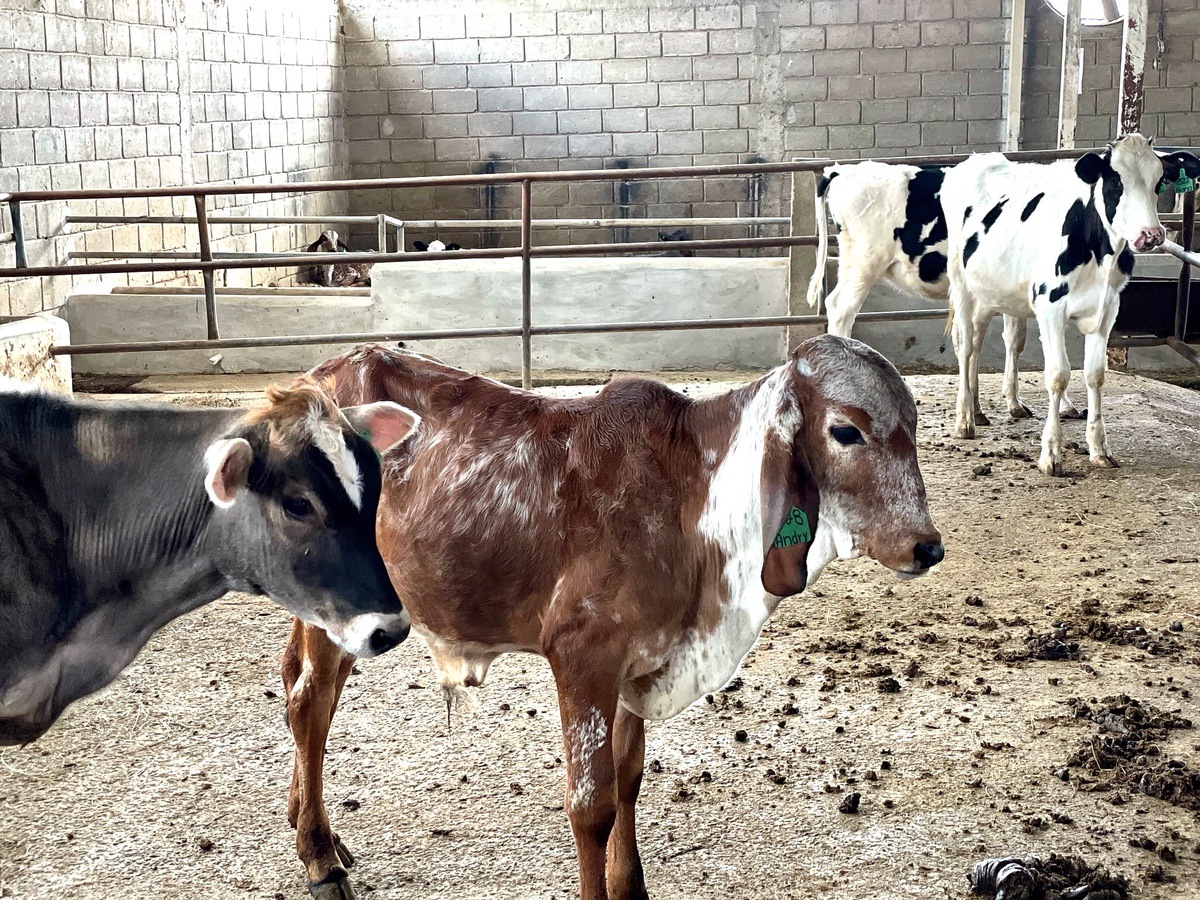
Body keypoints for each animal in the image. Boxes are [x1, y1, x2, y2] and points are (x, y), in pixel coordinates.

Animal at [283, 338, 945, 900]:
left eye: (912, 426)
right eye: (845, 431)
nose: (927, 547)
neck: (694, 493)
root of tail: (317, 376)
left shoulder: (639, 660)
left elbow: (628, 778)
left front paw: (631, 884)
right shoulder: (583, 657)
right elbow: (591, 805)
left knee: (310, 689)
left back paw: (314, 828)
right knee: (308, 704)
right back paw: (320, 858)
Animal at [940, 133, 1200, 475]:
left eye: (1159, 181)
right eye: (1115, 180)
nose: (1151, 235)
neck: (1099, 253)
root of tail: (977, 159)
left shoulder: (1108, 309)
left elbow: (1094, 374)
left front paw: (1099, 448)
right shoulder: (1050, 306)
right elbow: (1058, 375)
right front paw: (1051, 453)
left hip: (993, 288)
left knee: (992, 340)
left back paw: (985, 408)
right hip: (960, 281)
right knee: (966, 345)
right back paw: (965, 419)